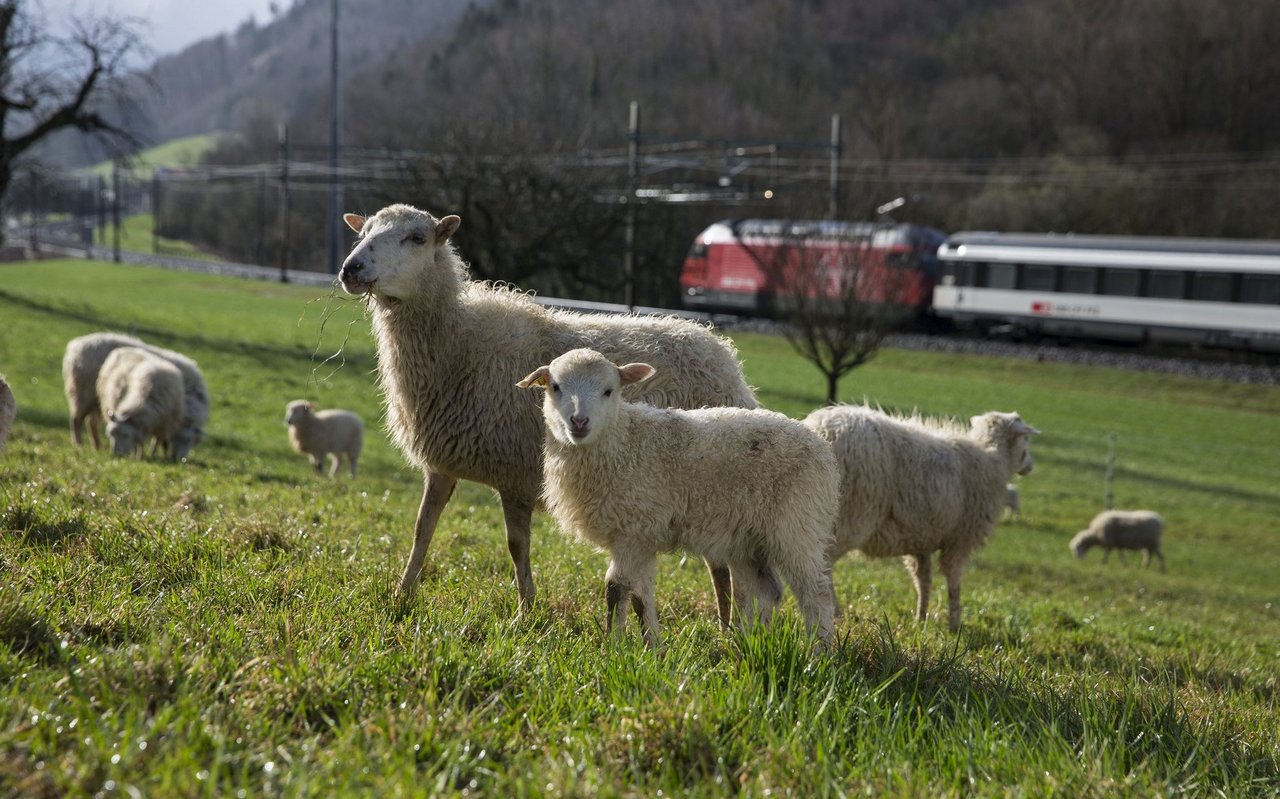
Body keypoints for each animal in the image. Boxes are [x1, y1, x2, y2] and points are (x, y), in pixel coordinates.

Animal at [63, 330, 209, 455]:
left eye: (190, 440)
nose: (179, 459)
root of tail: (75, 345)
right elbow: (157, 438)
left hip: (94, 400)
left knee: (90, 422)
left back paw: (96, 446)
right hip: (81, 394)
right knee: (76, 420)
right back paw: (79, 444)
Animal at [337, 201, 757, 617]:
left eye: (417, 238)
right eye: (364, 232)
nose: (351, 268)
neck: (459, 342)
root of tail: (724, 356)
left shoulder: (514, 474)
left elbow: (516, 546)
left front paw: (525, 612)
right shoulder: (443, 464)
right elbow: (422, 529)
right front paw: (402, 595)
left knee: (720, 564)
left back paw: (728, 625)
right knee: (718, 563)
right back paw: (725, 622)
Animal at [519, 348, 839, 650]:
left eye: (609, 390)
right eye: (555, 387)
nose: (579, 421)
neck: (624, 441)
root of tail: (821, 447)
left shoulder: (633, 530)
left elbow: (616, 588)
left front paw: (611, 647)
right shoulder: (642, 538)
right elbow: (640, 596)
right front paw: (652, 648)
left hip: (797, 526)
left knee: (817, 593)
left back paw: (820, 653)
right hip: (749, 538)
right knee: (769, 589)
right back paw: (751, 642)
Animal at [808, 404, 1039, 629]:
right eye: (1026, 438)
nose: (1030, 466)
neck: (994, 458)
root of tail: (822, 430)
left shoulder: (921, 539)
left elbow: (923, 581)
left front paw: (920, 619)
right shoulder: (959, 540)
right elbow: (954, 582)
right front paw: (954, 624)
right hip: (848, 518)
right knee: (824, 564)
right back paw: (835, 612)